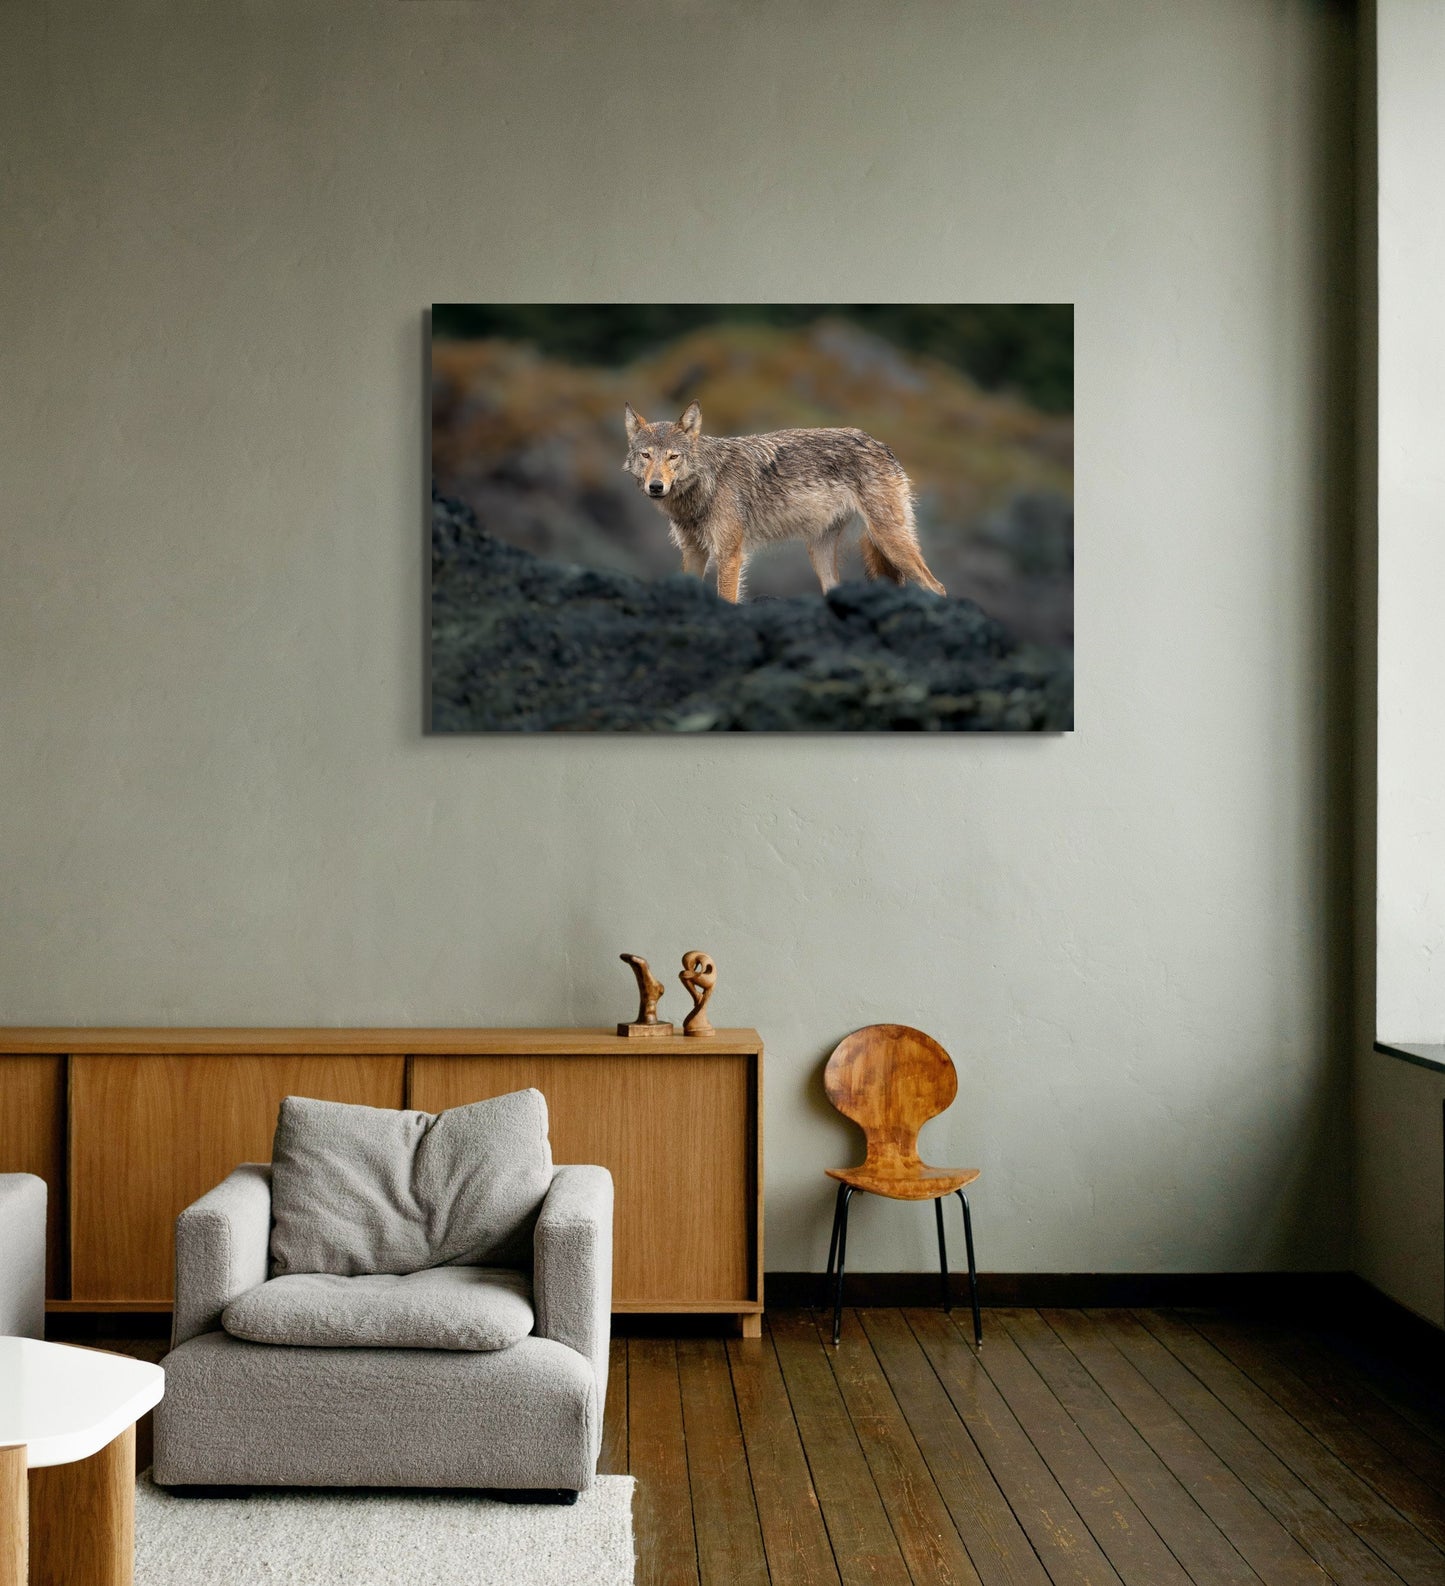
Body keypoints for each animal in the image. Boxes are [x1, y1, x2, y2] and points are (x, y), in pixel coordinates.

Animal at [622, 401, 946, 602]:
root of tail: (881, 444)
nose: (656, 486)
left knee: (937, 587)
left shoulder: (730, 555)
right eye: (646, 455)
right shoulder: (693, 552)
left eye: (673, 457)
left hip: (889, 541)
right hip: (820, 552)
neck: (704, 484)